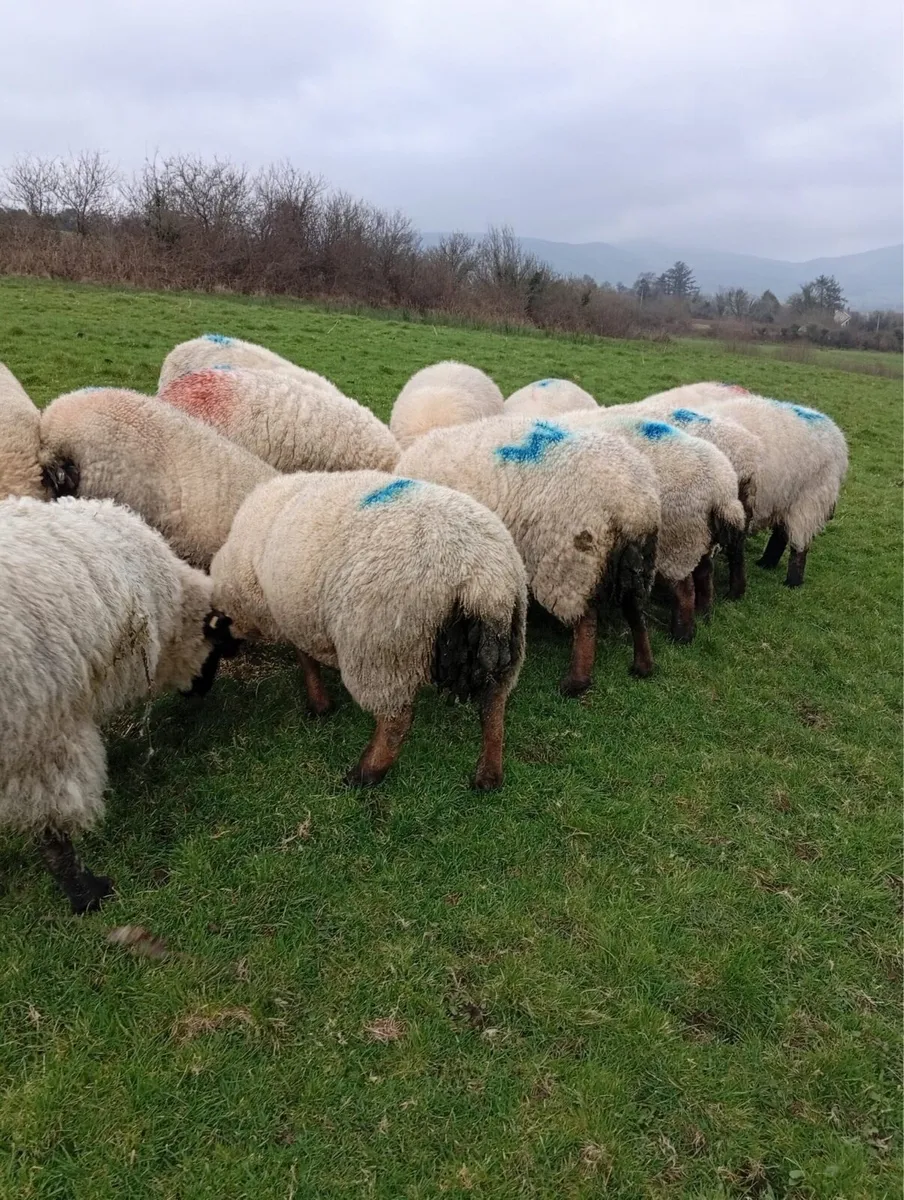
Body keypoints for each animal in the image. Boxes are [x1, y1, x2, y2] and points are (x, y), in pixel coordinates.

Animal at [210, 471, 527, 791]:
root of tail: (483, 579)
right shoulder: (300, 612)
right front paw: (321, 704)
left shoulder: (291, 613)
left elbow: (304, 657)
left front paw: (318, 703)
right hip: (505, 648)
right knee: (494, 707)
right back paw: (488, 776)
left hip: (382, 651)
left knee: (396, 722)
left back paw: (364, 774)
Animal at [396, 413, 661, 691]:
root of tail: (632, 506)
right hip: (637, 562)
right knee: (635, 609)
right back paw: (642, 665)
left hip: (573, 561)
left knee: (587, 620)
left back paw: (575, 682)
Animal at [551, 410, 747, 643]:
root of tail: (723, 490)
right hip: (699, 534)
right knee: (705, 571)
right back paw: (706, 612)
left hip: (679, 538)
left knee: (685, 588)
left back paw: (681, 634)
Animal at [640, 383, 848, 587]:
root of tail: (835, 431)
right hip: (784, 498)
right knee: (780, 533)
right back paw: (766, 563)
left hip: (810, 499)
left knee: (799, 543)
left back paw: (792, 581)